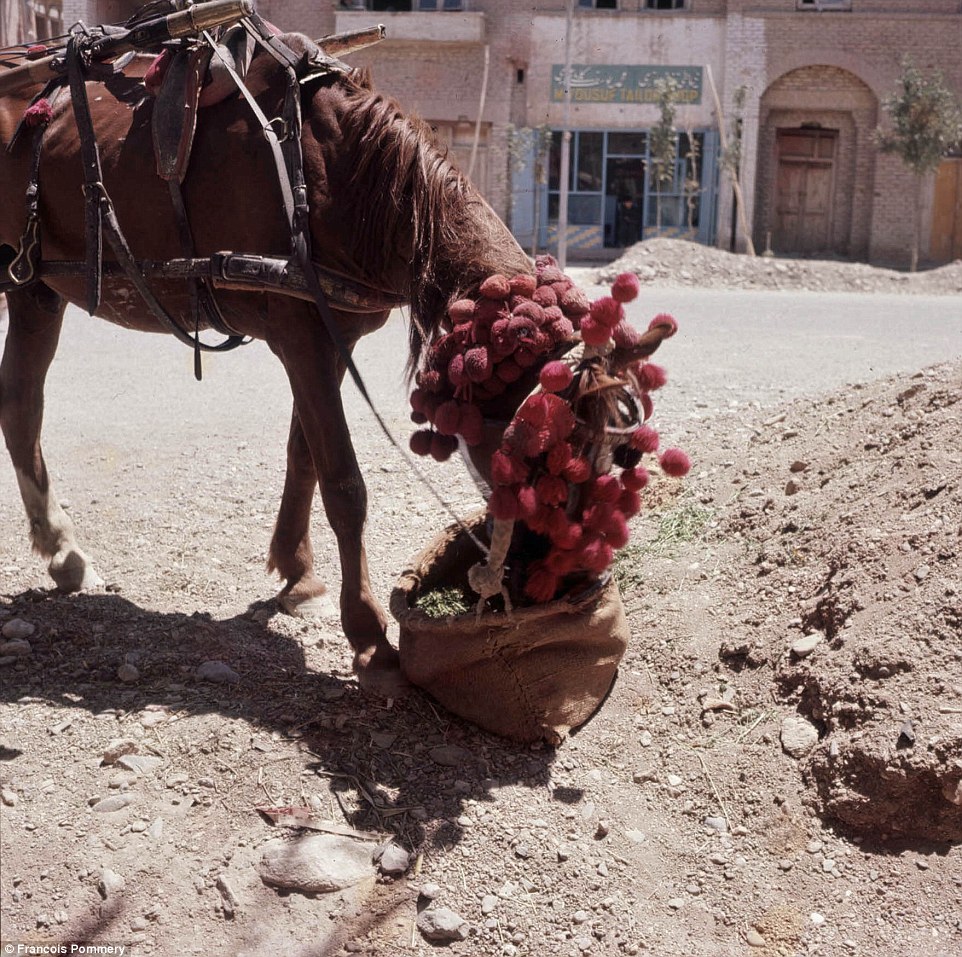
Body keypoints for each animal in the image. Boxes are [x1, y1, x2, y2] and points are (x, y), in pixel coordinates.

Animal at [0, 29, 528, 700]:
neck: (334, 170)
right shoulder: (301, 335)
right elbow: (344, 483)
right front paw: (371, 639)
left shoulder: (332, 337)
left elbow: (305, 456)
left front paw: (298, 576)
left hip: (34, 289)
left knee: (20, 406)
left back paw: (63, 553)